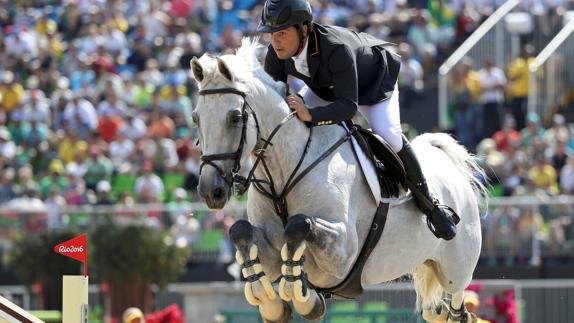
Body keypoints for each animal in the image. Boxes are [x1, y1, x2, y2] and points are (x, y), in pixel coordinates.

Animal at [191, 38, 488, 323]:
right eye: (195, 118)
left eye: (235, 117)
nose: (210, 192)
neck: (283, 174)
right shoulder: (271, 250)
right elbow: (241, 232)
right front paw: (274, 306)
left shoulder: (343, 252)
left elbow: (300, 225)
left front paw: (308, 301)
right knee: (433, 309)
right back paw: (439, 311)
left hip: (457, 266)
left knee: (458, 297)